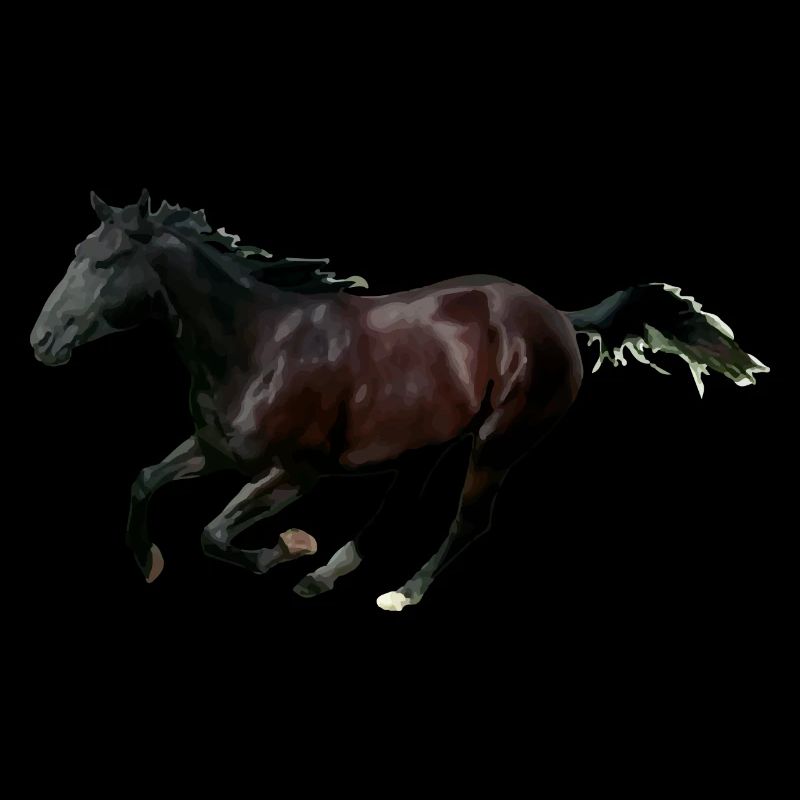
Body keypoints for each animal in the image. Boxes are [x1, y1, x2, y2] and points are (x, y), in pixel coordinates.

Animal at [30, 191, 770, 611]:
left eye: (104, 262)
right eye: (77, 250)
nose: (40, 340)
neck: (257, 344)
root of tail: (557, 315)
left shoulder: (294, 472)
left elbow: (214, 533)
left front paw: (289, 546)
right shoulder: (215, 449)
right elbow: (142, 480)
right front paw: (148, 562)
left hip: (498, 443)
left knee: (468, 522)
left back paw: (399, 593)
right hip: (431, 440)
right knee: (400, 505)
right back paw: (328, 576)